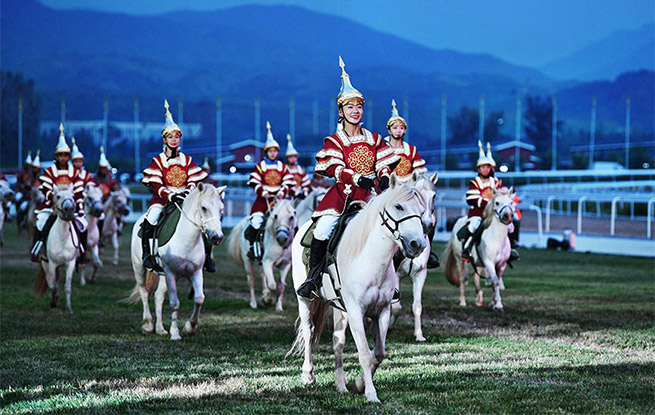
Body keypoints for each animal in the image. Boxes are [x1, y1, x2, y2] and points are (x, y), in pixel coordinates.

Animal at [31, 184, 80, 314]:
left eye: (73, 196)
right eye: (58, 196)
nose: (69, 210)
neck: (63, 237)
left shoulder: (70, 263)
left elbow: (67, 287)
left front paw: (69, 307)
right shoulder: (52, 263)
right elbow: (52, 285)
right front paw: (53, 303)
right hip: (45, 263)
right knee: (51, 281)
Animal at [127, 184, 227, 342]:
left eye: (221, 209)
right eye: (204, 208)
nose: (217, 237)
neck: (186, 239)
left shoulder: (196, 273)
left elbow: (199, 299)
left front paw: (189, 328)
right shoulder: (171, 273)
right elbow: (174, 303)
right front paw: (175, 333)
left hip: (163, 275)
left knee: (158, 296)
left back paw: (160, 329)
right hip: (139, 267)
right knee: (144, 292)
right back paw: (148, 325)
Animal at [290, 176, 428, 404]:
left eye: (422, 210)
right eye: (399, 206)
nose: (418, 244)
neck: (371, 260)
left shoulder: (382, 311)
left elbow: (378, 353)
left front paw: (358, 384)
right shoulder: (356, 312)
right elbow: (364, 353)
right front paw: (371, 394)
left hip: (339, 307)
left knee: (337, 341)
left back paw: (341, 384)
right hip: (306, 301)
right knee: (309, 333)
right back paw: (308, 375)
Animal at [392, 171, 438, 342]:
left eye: (434, 196)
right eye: (416, 195)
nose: (427, 223)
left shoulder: (420, 274)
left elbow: (417, 306)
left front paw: (419, 335)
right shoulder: (396, 274)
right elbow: (396, 307)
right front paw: (389, 326)